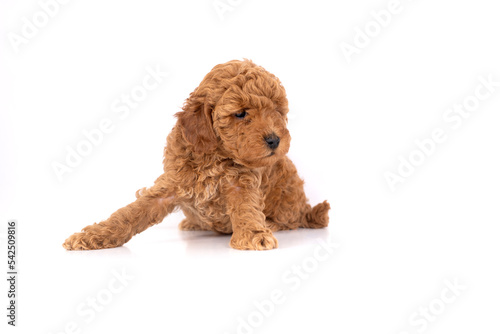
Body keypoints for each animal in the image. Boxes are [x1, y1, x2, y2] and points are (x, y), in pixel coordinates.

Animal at [62, 59, 330, 250]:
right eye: (241, 113)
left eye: (277, 111)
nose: (275, 140)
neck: (212, 156)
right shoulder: (171, 183)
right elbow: (130, 213)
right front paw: (94, 235)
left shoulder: (242, 183)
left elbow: (246, 208)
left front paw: (254, 233)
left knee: (291, 220)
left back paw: (273, 223)